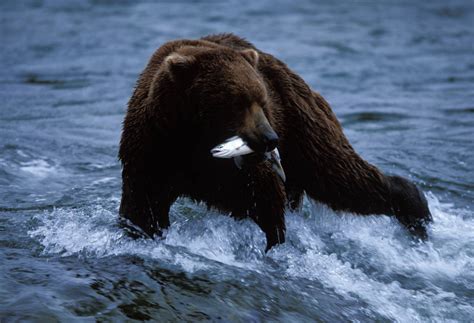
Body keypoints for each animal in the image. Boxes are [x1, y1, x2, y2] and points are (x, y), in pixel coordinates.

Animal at [119, 33, 434, 251]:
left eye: (261, 99)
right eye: (237, 102)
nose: (270, 139)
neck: (194, 138)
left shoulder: (246, 168)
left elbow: (266, 201)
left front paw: (274, 244)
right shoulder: (153, 149)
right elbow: (142, 206)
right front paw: (140, 232)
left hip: (302, 127)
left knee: (343, 178)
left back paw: (417, 214)